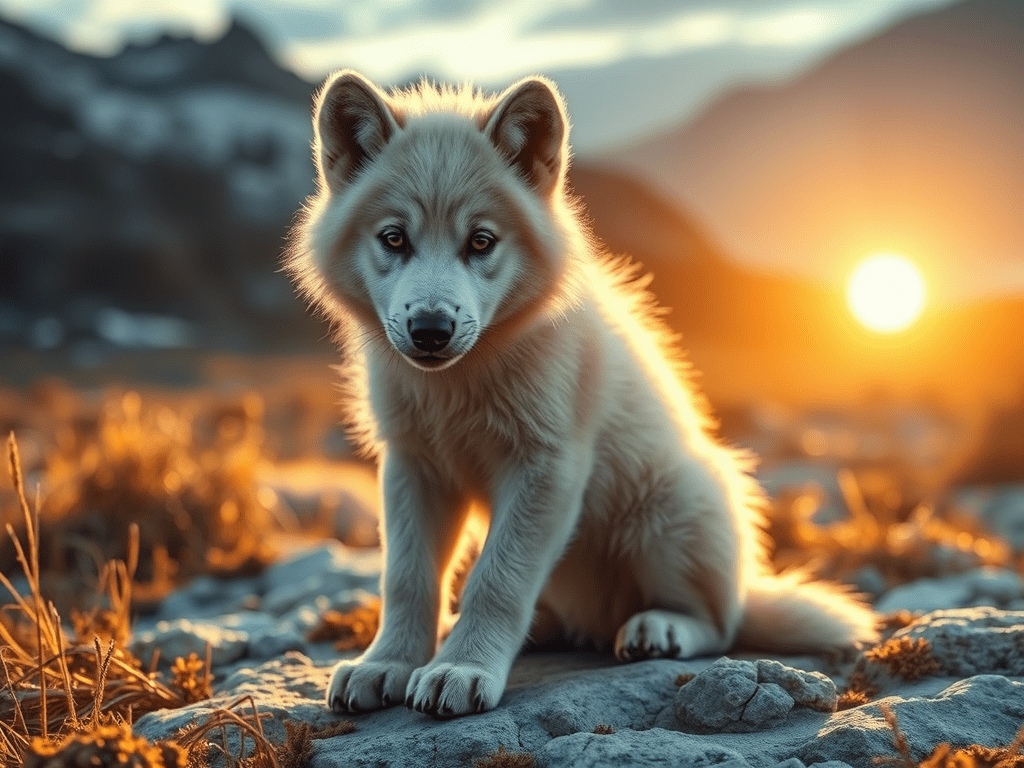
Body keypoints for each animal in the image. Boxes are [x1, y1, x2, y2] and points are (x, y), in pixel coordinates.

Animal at [286, 70, 877, 719]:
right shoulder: (412, 466)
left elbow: (496, 579)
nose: (431, 330)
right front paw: (388, 663)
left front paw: (461, 669)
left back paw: (658, 628)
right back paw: (542, 630)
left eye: (481, 242)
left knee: (719, 623)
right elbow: (407, 578)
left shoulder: (546, 466)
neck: (459, 384)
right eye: (393, 238)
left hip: (668, 515)